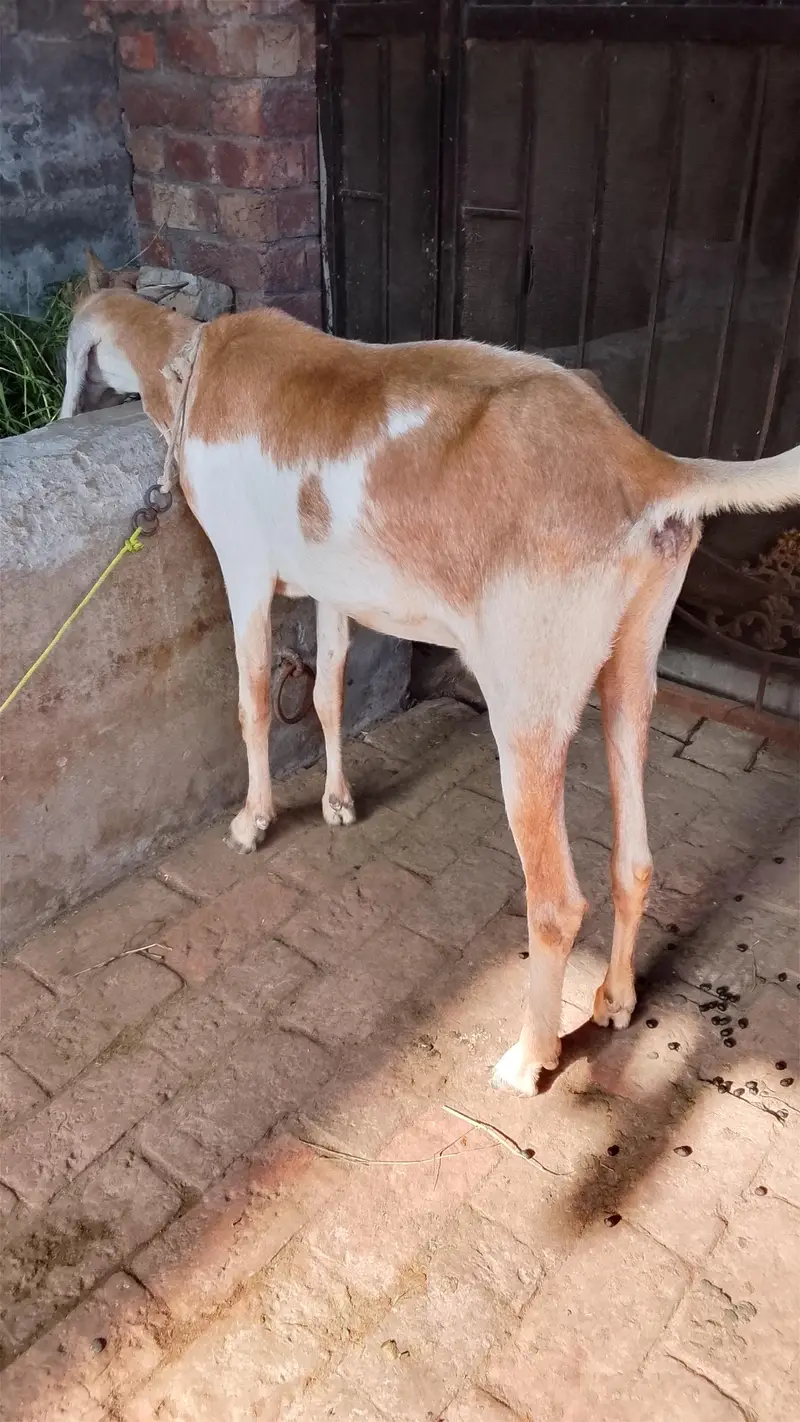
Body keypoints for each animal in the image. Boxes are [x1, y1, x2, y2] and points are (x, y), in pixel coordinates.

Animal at [59, 292, 800, 1095]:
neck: (192, 364)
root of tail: (644, 465)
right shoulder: (331, 588)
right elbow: (330, 691)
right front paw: (338, 803)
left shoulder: (245, 569)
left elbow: (254, 698)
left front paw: (254, 821)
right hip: (632, 667)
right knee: (634, 856)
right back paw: (616, 999)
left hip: (528, 708)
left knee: (556, 901)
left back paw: (530, 1058)